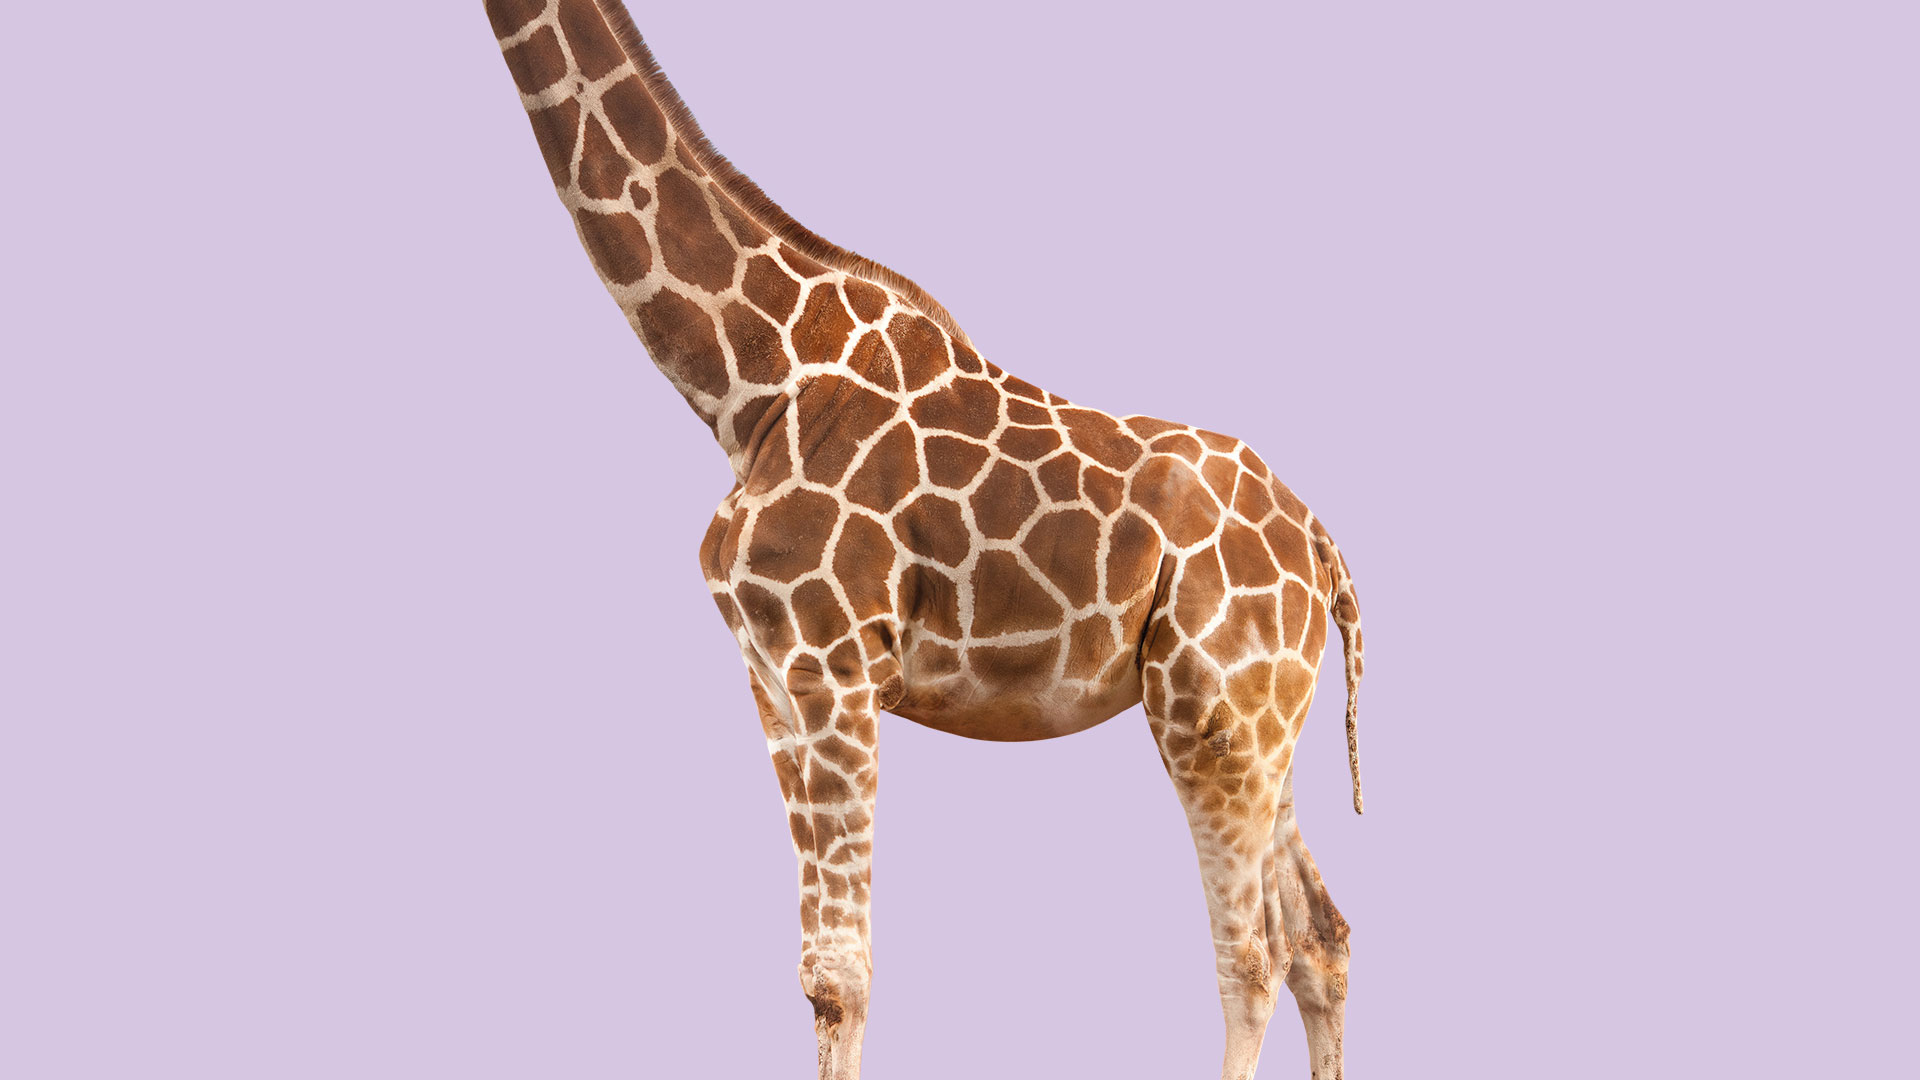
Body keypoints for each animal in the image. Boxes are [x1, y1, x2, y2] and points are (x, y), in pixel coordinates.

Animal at [481, 3, 1367, 1077]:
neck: (749, 381)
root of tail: (1322, 546)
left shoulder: (834, 666)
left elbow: (840, 978)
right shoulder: (771, 681)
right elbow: (816, 974)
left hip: (1216, 712)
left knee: (1253, 956)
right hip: (1261, 719)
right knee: (1321, 937)